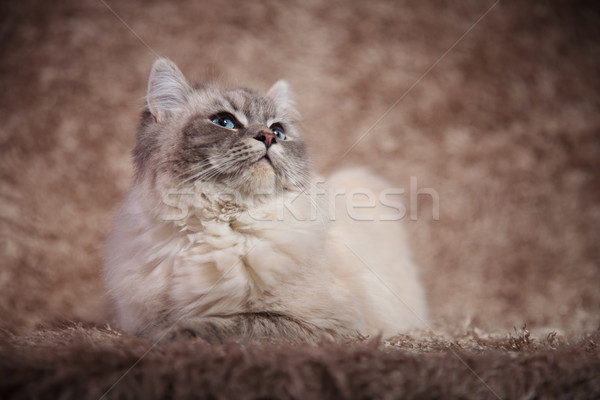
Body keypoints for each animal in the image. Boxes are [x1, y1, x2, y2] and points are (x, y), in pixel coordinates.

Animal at [105, 57, 428, 346]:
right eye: (224, 122)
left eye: (278, 131)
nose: (268, 137)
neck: (219, 221)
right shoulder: (138, 316)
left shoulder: (323, 326)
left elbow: (228, 324)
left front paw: (167, 335)